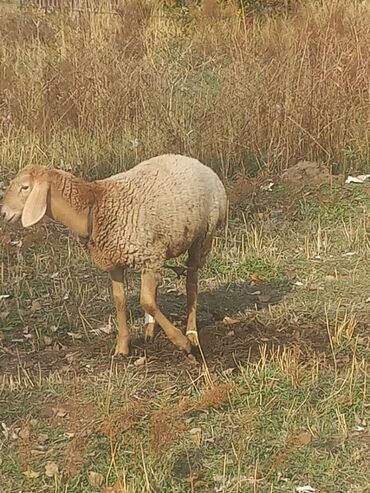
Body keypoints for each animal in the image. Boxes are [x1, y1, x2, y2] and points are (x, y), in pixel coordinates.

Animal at [1, 153, 227, 354]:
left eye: (25, 187)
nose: (3, 213)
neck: (95, 207)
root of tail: (199, 164)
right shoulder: (116, 262)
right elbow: (120, 300)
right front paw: (122, 347)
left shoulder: (149, 256)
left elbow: (145, 301)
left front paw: (180, 342)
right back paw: (150, 329)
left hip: (201, 237)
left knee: (191, 282)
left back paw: (191, 333)